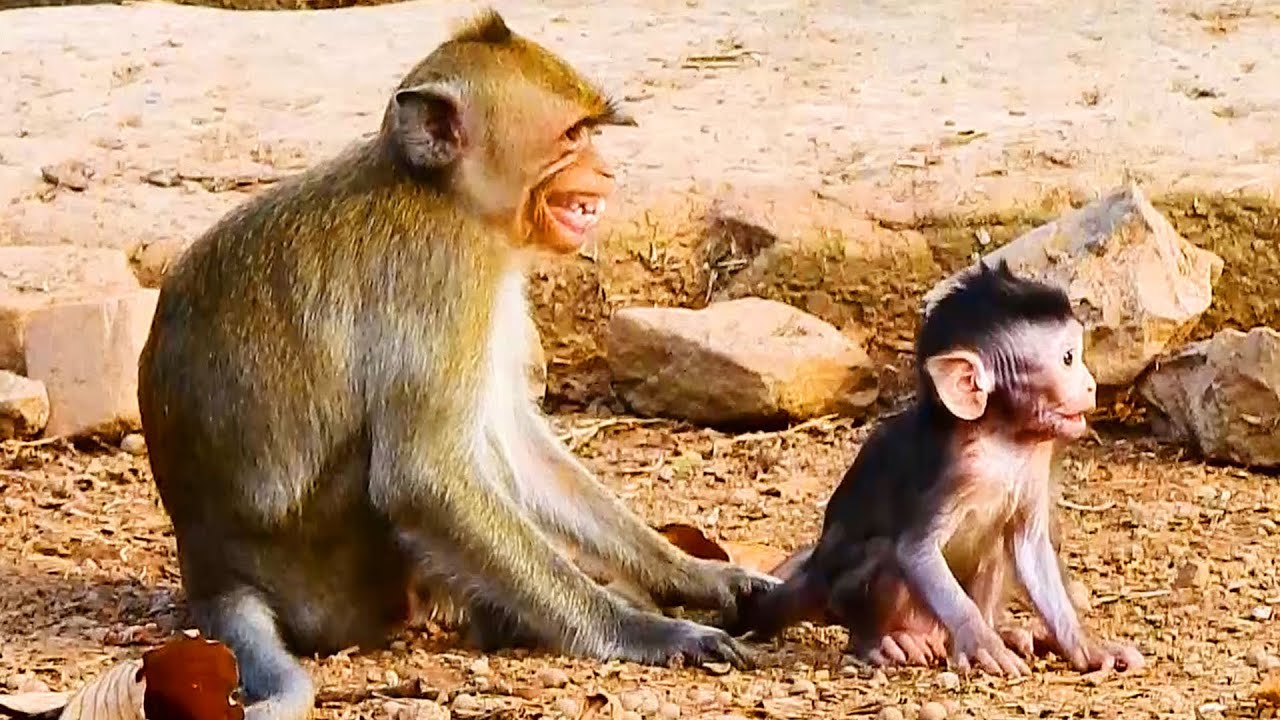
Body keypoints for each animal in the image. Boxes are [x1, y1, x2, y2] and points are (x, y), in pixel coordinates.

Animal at [136, 11, 775, 720]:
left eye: (591, 135)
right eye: (572, 137)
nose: (607, 173)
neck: (447, 198)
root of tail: (213, 574)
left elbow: (517, 441)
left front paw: (698, 575)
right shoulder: (448, 274)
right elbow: (421, 477)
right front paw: (649, 630)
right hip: (335, 581)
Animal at [725, 259, 1145, 677]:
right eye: (1068, 359)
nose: (1090, 386)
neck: (1000, 435)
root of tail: (815, 572)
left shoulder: (1036, 458)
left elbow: (1031, 546)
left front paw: (1086, 646)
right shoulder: (948, 473)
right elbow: (915, 550)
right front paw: (981, 642)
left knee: (996, 543)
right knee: (884, 551)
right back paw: (881, 642)